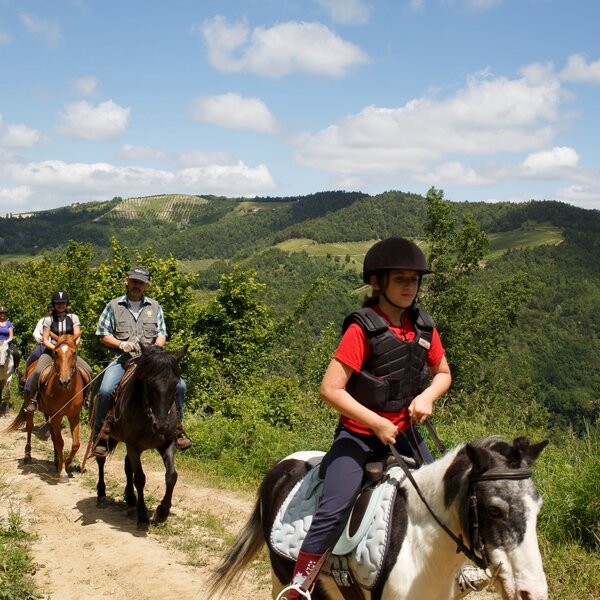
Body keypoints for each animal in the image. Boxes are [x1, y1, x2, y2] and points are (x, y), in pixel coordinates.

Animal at [94, 342, 186, 528]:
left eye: (175, 383)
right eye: (149, 382)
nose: (161, 425)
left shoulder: (167, 443)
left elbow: (171, 476)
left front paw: (162, 513)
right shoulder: (133, 445)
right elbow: (140, 478)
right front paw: (143, 516)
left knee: (127, 466)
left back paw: (130, 500)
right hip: (104, 434)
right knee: (101, 460)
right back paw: (102, 494)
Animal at [206, 436, 548, 600]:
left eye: (538, 508)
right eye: (494, 510)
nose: (531, 594)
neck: (420, 547)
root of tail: (285, 465)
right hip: (281, 575)